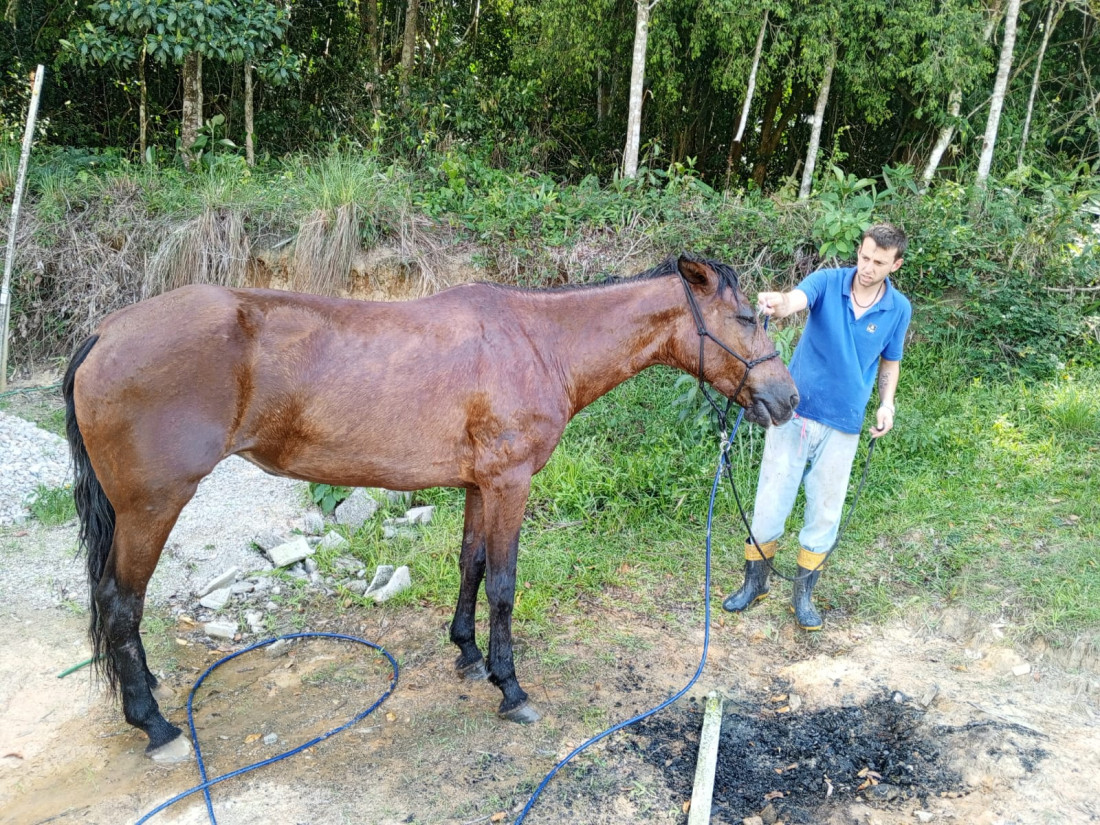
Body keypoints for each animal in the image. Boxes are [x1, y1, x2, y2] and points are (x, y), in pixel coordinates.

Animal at [64, 254, 796, 761]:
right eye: (749, 318)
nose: (788, 400)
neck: (538, 341)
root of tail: (104, 334)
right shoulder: (510, 484)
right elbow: (504, 583)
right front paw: (510, 687)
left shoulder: (479, 485)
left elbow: (470, 565)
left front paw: (468, 654)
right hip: (152, 507)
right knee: (120, 603)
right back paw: (156, 724)